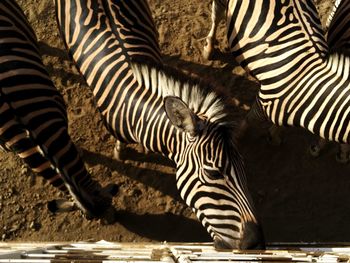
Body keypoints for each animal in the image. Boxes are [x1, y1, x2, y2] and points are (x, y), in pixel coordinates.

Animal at [54, 0, 262, 251]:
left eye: (242, 165)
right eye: (213, 173)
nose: (255, 241)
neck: (132, 104)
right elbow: (120, 144)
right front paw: (120, 151)